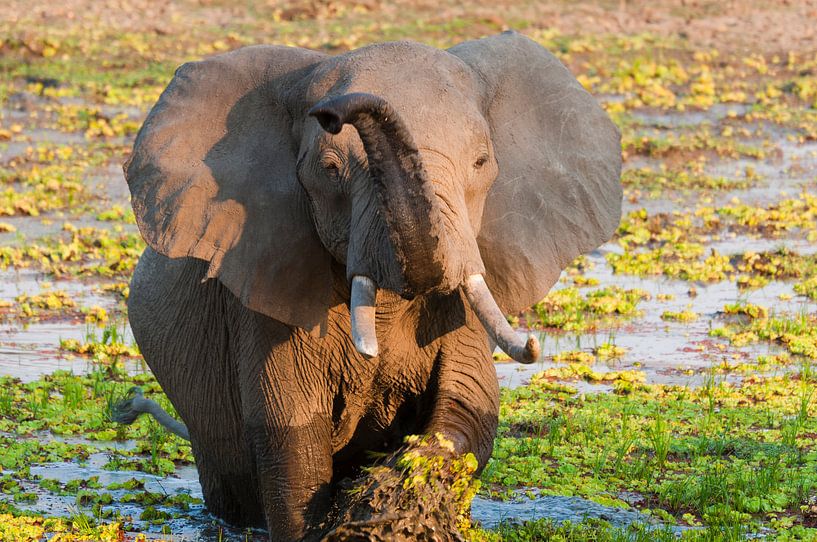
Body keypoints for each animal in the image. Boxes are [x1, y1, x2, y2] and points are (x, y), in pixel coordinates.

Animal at [119, 30, 620, 542]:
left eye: (481, 162)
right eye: (330, 168)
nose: (331, 111)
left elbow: (470, 404)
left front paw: (399, 485)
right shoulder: (265, 282)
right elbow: (293, 434)